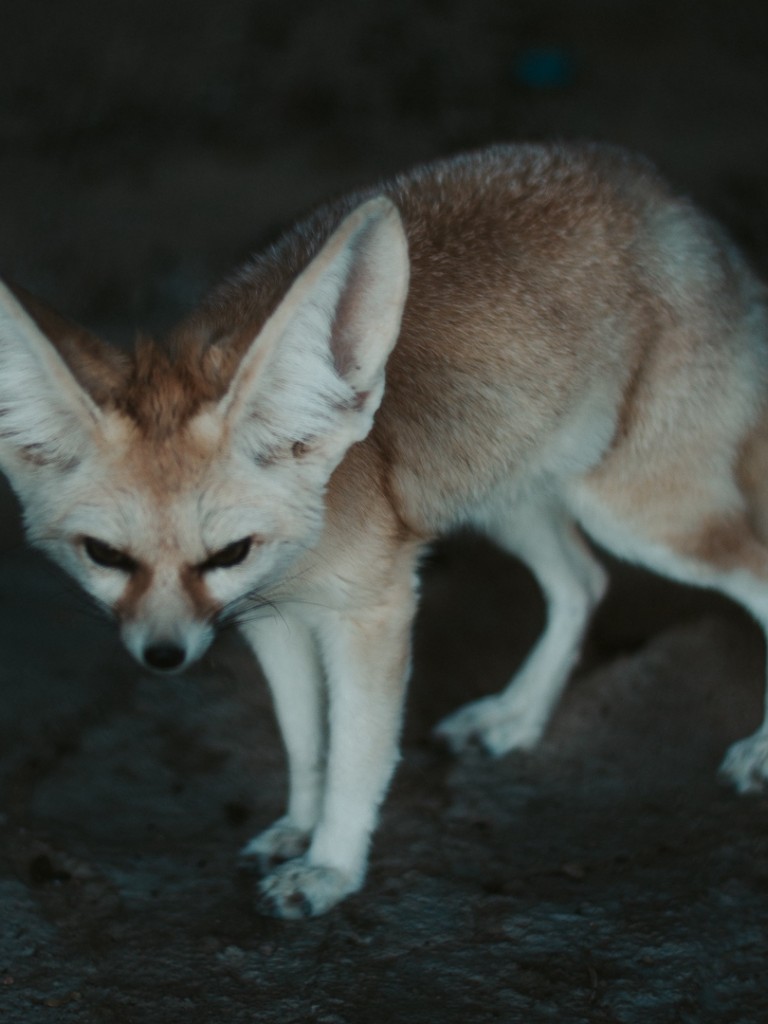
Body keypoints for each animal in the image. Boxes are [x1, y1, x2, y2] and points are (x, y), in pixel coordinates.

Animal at [1, 142, 768, 918]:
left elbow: (355, 755)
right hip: (506, 496)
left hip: (640, 516)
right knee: (583, 582)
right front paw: (299, 828)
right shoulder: (270, 620)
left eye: (229, 552)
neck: (301, 557)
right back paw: (516, 717)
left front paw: (330, 867)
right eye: (104, 555)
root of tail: (671, 199)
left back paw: (757, 751)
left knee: (745, 573)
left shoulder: (373, 612)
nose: (163, 655)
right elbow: (305, 743)